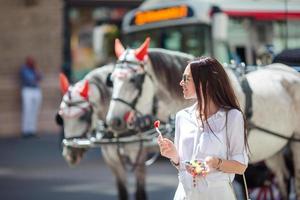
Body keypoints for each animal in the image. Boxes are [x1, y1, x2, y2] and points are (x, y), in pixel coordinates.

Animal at [106, 38, 300, 199]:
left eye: (134, 80)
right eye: (112, 80)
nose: (113, 121)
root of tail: (289, 71)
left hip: (295, 143)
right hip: (273, 147)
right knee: (283, 178)